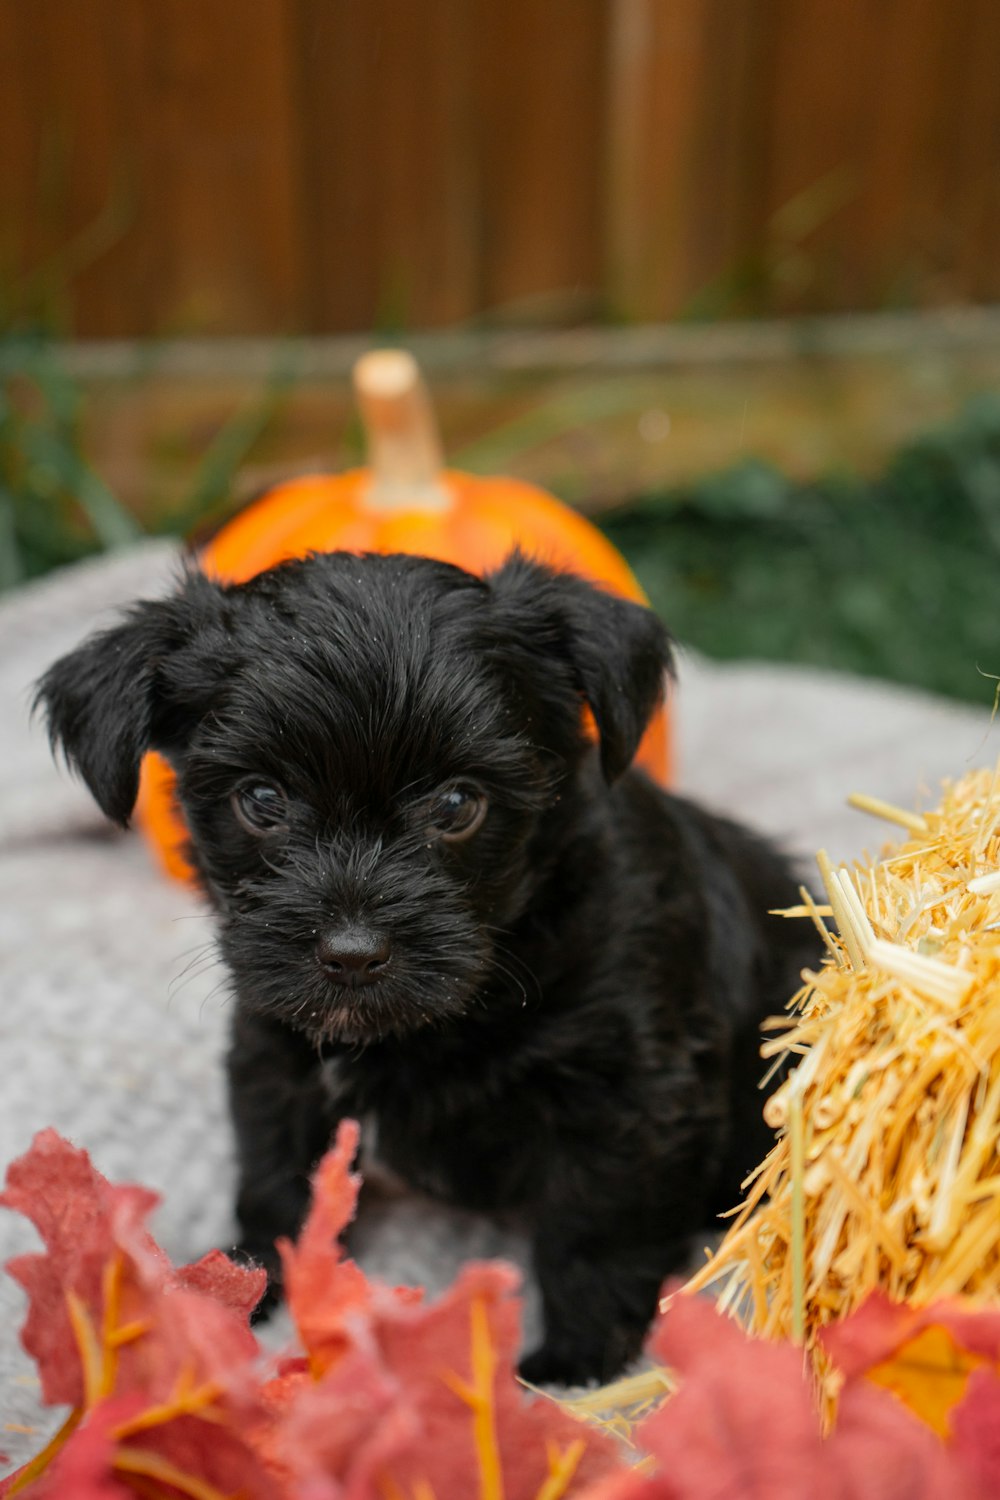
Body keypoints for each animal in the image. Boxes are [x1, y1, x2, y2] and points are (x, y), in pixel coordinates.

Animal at [39, 552, 821, 1380]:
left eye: (455, 805)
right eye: (261, 800)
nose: (352, 954)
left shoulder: (634, 1093)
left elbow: (595, 1232)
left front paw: (571, 1366)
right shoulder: (275, 1056)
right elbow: (278, 1178)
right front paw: (245, 1286)